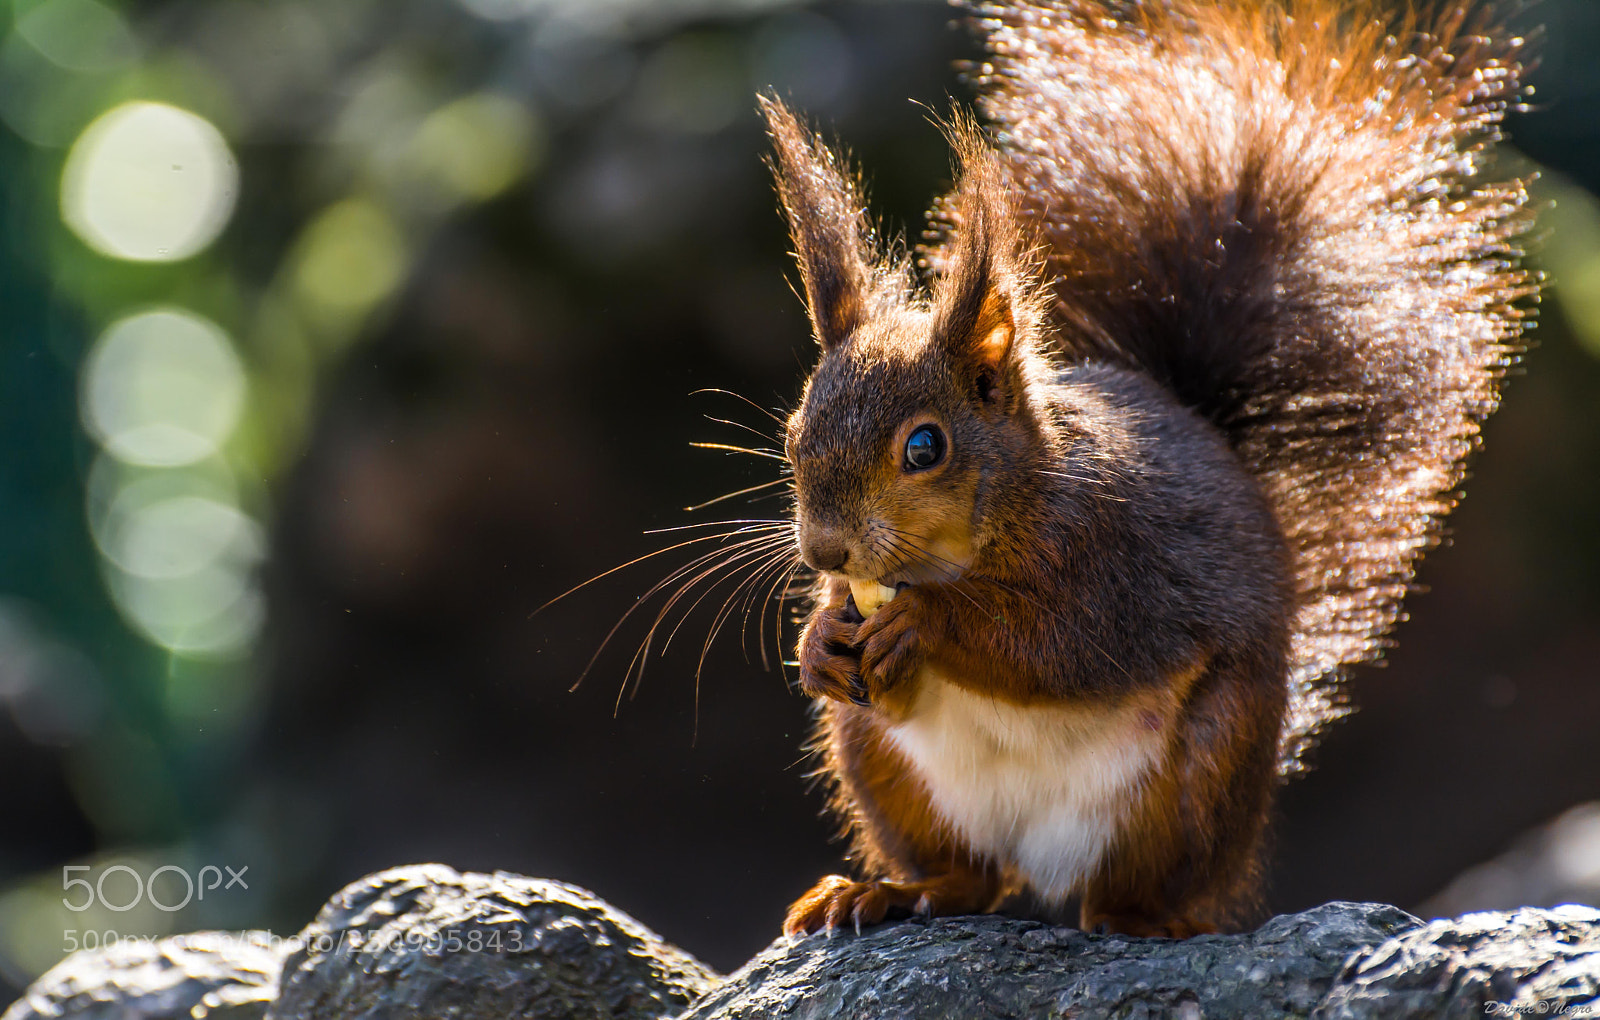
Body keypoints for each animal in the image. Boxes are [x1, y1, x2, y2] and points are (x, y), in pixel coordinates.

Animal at [758, 0, 1535, 938]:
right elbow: (882, 679)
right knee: (968, 879)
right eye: (794, 428)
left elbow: (1060, 649)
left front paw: (929, 624)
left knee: (1144, 885)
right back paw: (887, 891)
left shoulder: (1119, 561)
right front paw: (819, 641)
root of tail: (1044, 864)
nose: (825, 552)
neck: (975, 536)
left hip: (1202, 768)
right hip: (881, 765)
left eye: (924, 447)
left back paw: (1145, 919)